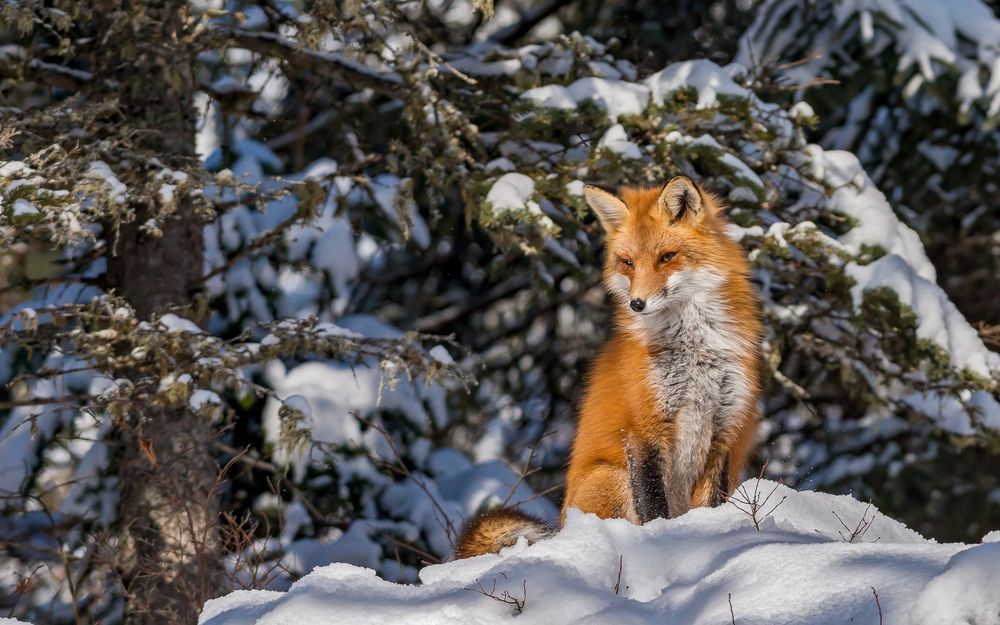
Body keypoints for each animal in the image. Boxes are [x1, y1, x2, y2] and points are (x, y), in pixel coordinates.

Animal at [458, 174, 760, 556]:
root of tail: (563, 523)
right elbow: (652, 504)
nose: (637, 304)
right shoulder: (643, 427)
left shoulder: (725, 428)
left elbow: (713, 503)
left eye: (667, 257)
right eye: (628, 262)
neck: (693, 351)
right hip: (611, 475)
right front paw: (664, 542)